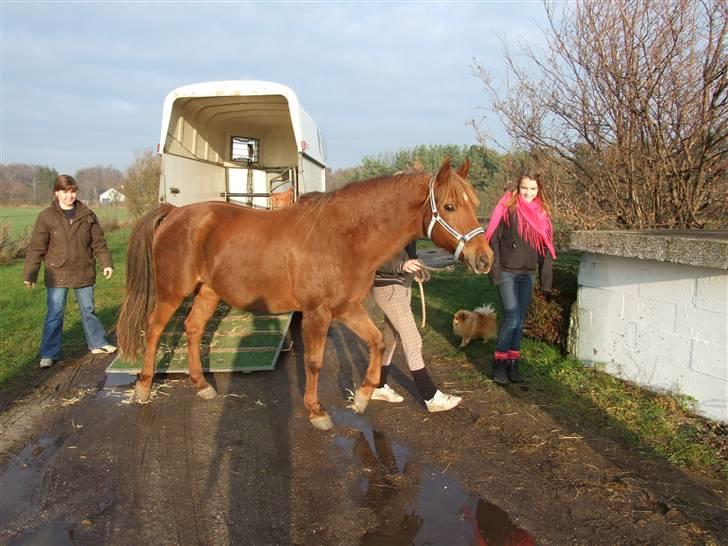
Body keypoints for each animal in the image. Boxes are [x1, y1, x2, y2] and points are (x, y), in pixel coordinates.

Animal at [118, 158, 494, 430]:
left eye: (474, 202)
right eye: (449, 206)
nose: (484, 258)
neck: (343, 238)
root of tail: (175, 213)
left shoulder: (347, 308)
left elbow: (378, 343)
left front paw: (362, 396)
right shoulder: (317, 312)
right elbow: (314, 361)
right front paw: (316, 411)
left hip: (208, 292)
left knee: (193, 329)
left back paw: (202, 385)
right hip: (172, 292)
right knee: (154, 329)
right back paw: (144, 387)